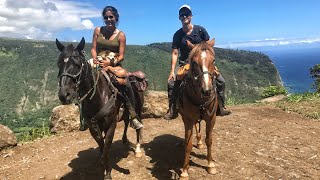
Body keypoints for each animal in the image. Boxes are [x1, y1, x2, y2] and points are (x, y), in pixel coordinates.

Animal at [56, 37, 144, 179]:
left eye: (77, 64)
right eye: (59, 64)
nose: (64, 95)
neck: (98, 96)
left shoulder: (111, 125)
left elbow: (106, 147)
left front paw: (107, 173)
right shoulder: (93, 126)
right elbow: (101, 145)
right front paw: (102, 164)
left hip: (138, 109)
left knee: (137, 126)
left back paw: (137, 149)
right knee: (126, 121)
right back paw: (125, 139)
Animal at [179, 42, 219, 179]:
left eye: (213, 60)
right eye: (194, 62)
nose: (206, 90)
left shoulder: (212, 118)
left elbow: (209, 140)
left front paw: (210, 164)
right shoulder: (188, 119)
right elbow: (188, 143)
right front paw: (184, 171)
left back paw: (200, 141)